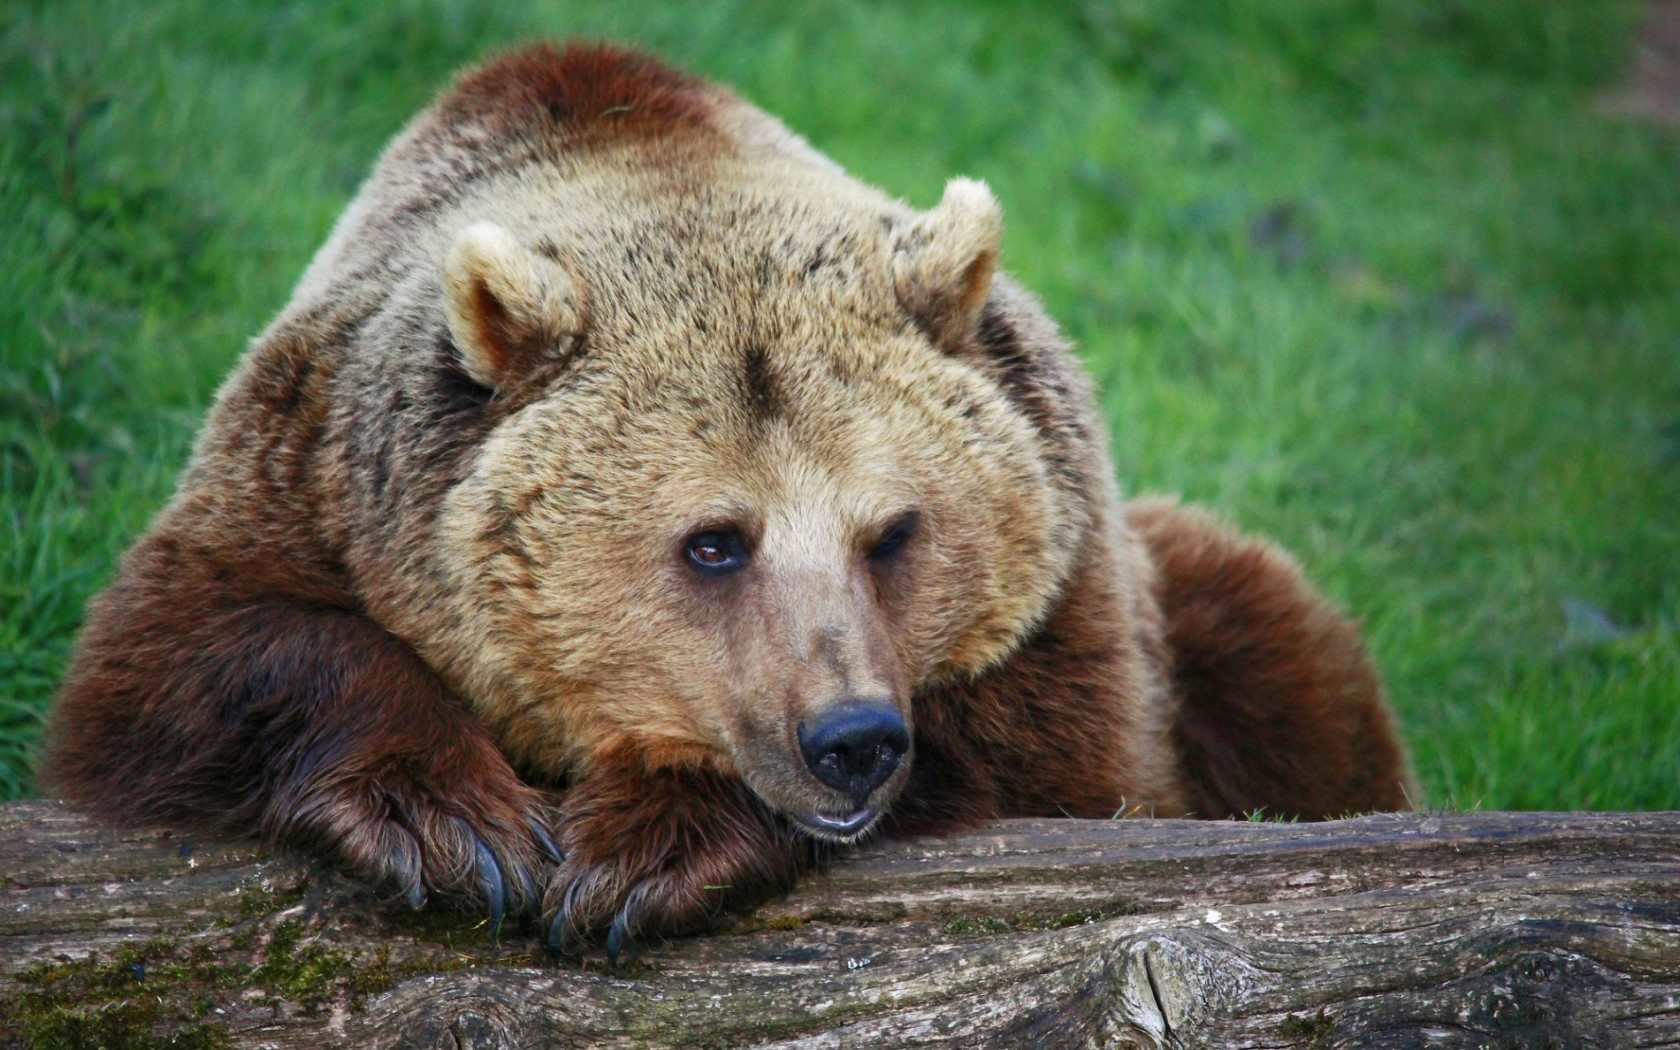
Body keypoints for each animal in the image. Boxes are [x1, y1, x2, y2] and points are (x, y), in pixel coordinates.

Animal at [39, 40, 1411, 960]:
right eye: (714, 542)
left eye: (893, 530)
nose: (852, 740)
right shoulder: (315, 470)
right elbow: (181, 656)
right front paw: (450, 824)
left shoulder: (1068, 578)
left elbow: (1052, 752)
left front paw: (649, 843)